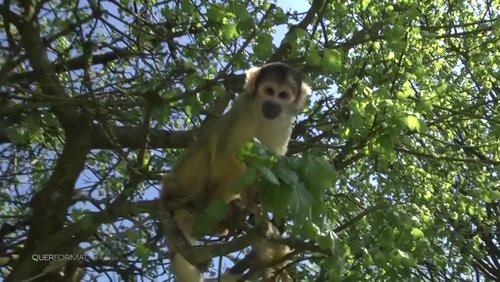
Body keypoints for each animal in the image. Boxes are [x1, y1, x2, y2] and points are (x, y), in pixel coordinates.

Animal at [162, 62, 310, 280]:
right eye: (269, 91)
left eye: (283, 95)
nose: (273, 104)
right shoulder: (242, 108)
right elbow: (226, 153)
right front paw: (249, 197)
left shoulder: (285, 126)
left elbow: (272, 165)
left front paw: (259, 199)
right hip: (185, 179)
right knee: (209, 150)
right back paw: (186, 194)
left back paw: (226, 219)